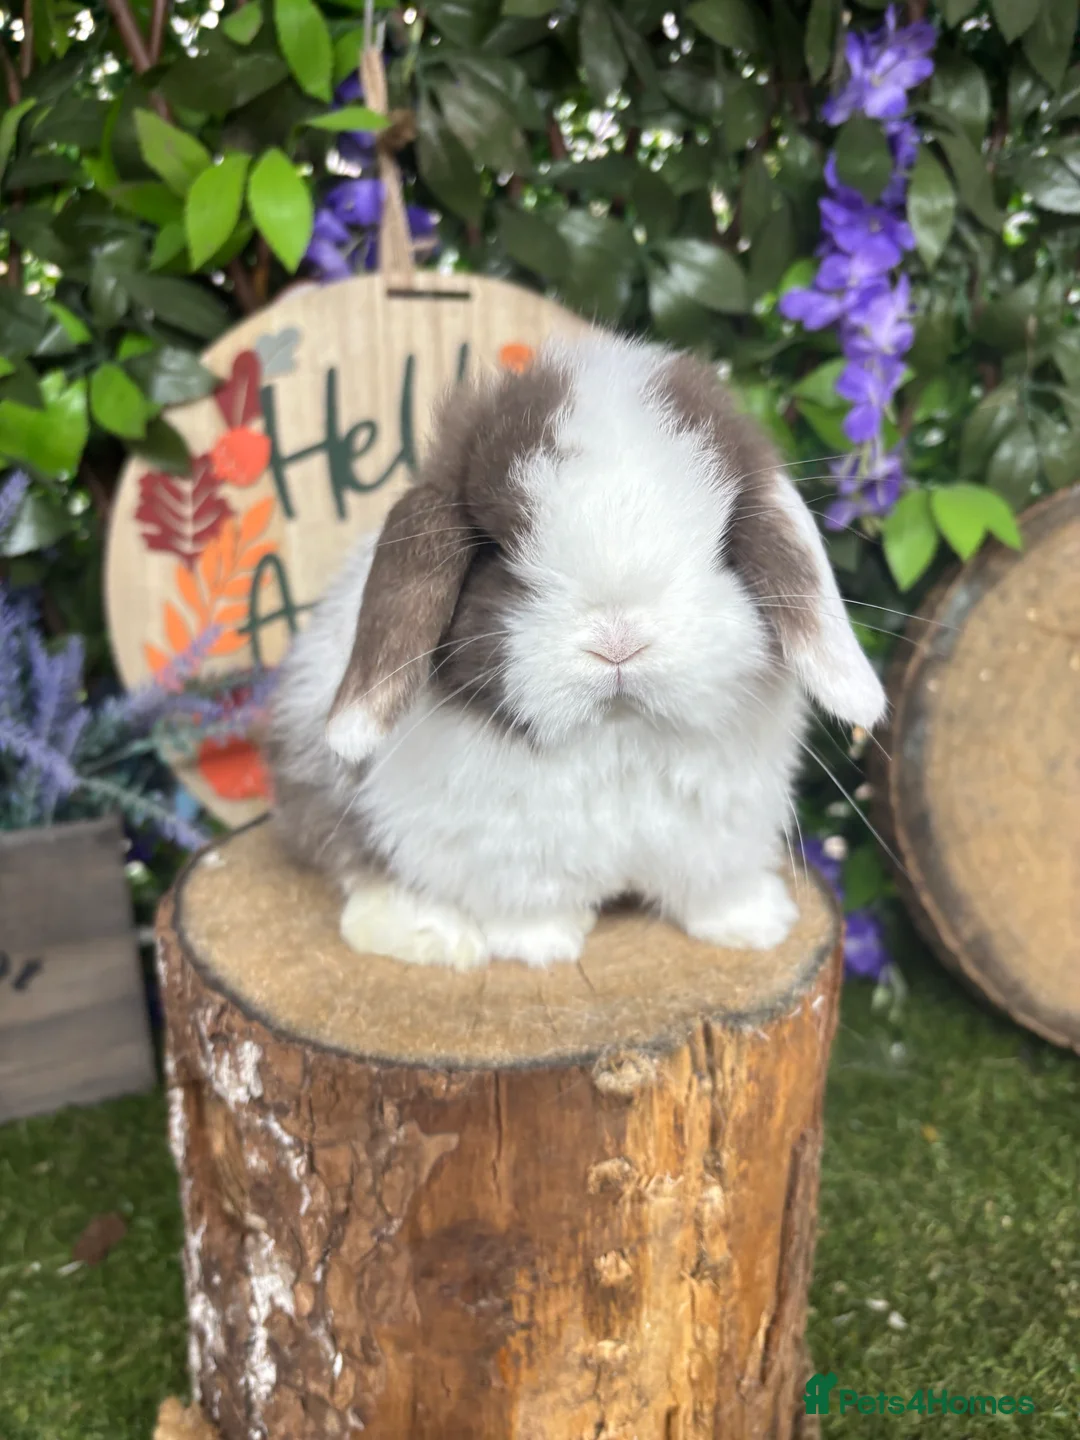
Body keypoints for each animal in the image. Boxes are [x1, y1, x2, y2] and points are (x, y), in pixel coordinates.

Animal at [265, 332, 886, 970]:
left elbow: (713, 890)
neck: (617, 736)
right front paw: (540, 946)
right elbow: (527, 905)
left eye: (721, 544)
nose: (618, 644)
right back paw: (436, 935)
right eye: (496, 550)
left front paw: (758, 925)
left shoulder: (717, 838)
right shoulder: (501, 856)